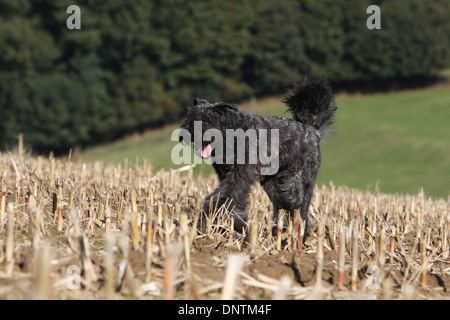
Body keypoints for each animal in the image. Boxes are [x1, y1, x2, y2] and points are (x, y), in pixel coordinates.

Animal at [179, 79, 338, 241]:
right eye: (191, 118)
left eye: (206, 119)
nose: (187, 134)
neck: (229, 134)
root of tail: (312, 131)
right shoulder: (226, 175)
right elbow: (228, 197)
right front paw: (237, 223)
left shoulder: (239, 175)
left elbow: (225, 197)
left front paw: (206, 222)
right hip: (275, 186)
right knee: (285, 209)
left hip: (297, 184)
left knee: (301, 211)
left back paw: (298, 237)